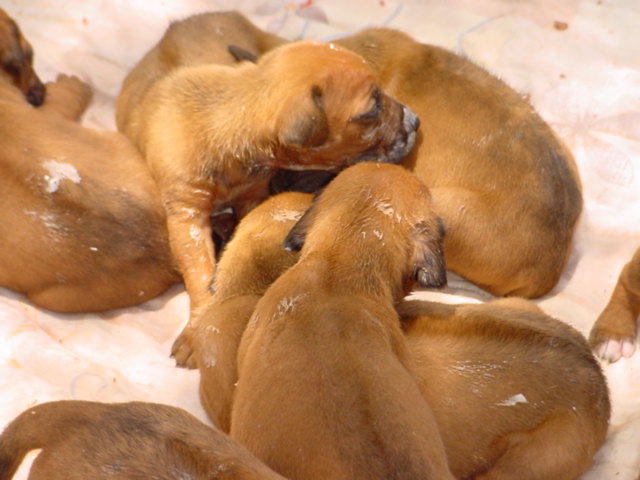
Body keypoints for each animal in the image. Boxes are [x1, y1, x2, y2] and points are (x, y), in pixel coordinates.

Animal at [116, 12, 420, 321]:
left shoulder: (253, 196)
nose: (415, 120)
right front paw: (204, 312)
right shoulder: (186, 216)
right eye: (371, 110)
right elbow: (199, 268)